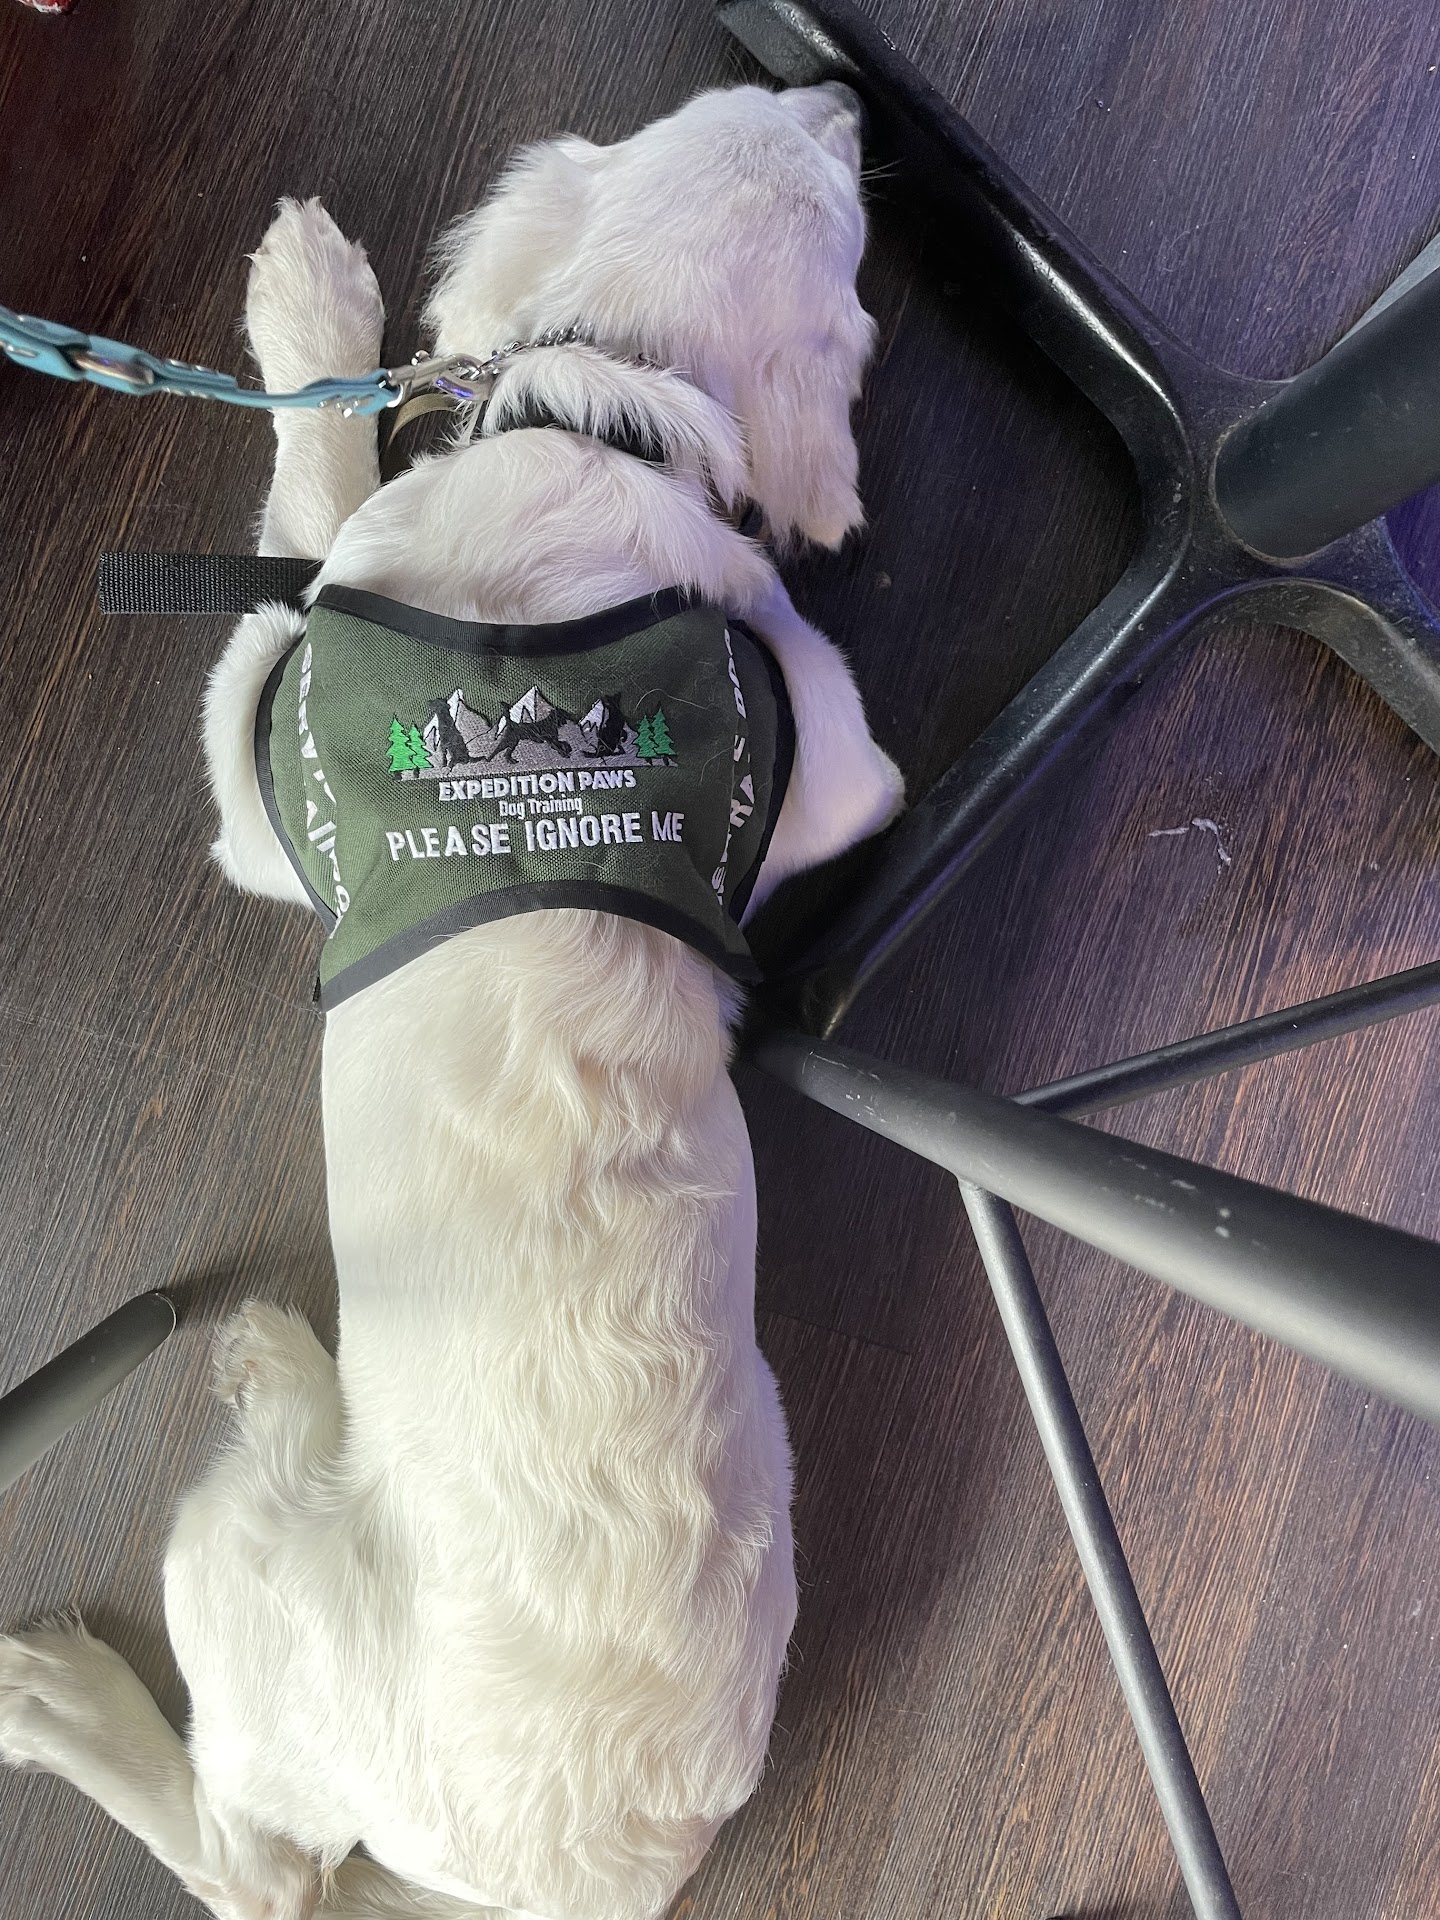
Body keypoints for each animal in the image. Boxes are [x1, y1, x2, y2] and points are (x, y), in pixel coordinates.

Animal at [0, 81, 903, 1920]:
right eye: (753, 112)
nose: (852, 91)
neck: (606, 422)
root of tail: (579, 1866)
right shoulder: (822, 738)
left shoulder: (259, 750)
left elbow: (306, 489)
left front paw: (310, 316)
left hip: (240, 1577)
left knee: (252, 1862)